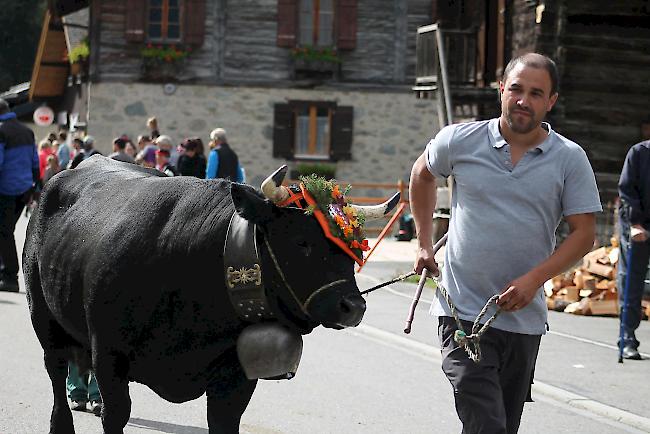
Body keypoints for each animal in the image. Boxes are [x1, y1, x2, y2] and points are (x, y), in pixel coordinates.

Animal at [25, 157, 394, 434]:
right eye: (301, 242)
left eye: (353, 246)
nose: (353, 306)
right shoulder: (108, 354)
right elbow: (115, 414)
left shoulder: (235, 379)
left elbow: (223, 422)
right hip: (43, 317)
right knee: (56, 372)